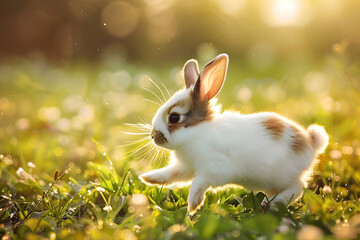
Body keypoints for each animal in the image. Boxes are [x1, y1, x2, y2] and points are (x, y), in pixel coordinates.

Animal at [139, 53, 330, 213]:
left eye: (174, 117)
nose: (153, 136)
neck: (198, 133)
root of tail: (311, 141)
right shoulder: (185, 168)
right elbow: (171, 174)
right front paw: (148, 178)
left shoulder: (214, 168)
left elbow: (198, 182)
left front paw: (193, 205)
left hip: (281, 175)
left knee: (298, 187)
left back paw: (274, 204)